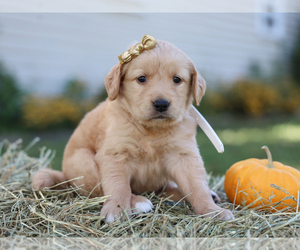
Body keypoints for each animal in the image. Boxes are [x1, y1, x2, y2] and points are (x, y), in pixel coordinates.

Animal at [33, 36, 234, 222]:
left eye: (177, 79)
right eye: (141, 79)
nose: (161, 104)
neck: (151, 129)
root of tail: (64, 175)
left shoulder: (183, 156)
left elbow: (197, 186)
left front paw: (212, 211)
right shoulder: (115, 154)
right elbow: (118, 185)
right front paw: (117, 209)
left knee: (166, 189)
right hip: (83, 161)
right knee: (98, 191)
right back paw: (139, 201)